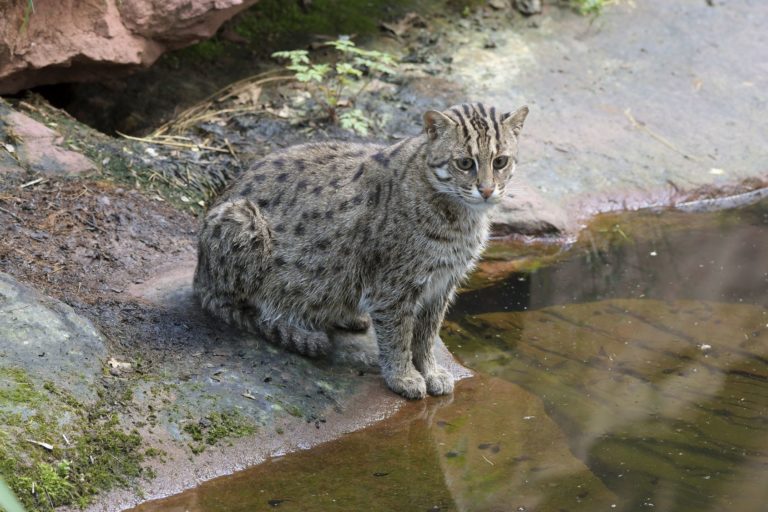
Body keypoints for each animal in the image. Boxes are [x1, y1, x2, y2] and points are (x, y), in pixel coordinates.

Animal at [194, 103, 528, 400]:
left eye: (500, 162)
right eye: (465, 163)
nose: (487, 190)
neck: (460, 217)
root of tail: (199, 273)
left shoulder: (442, 285)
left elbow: (427, 336)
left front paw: (430, 371)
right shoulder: (394, 288)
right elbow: (399, 337)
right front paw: (404, 377)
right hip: (241, 222)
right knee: (237, 306)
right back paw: (295, 328)